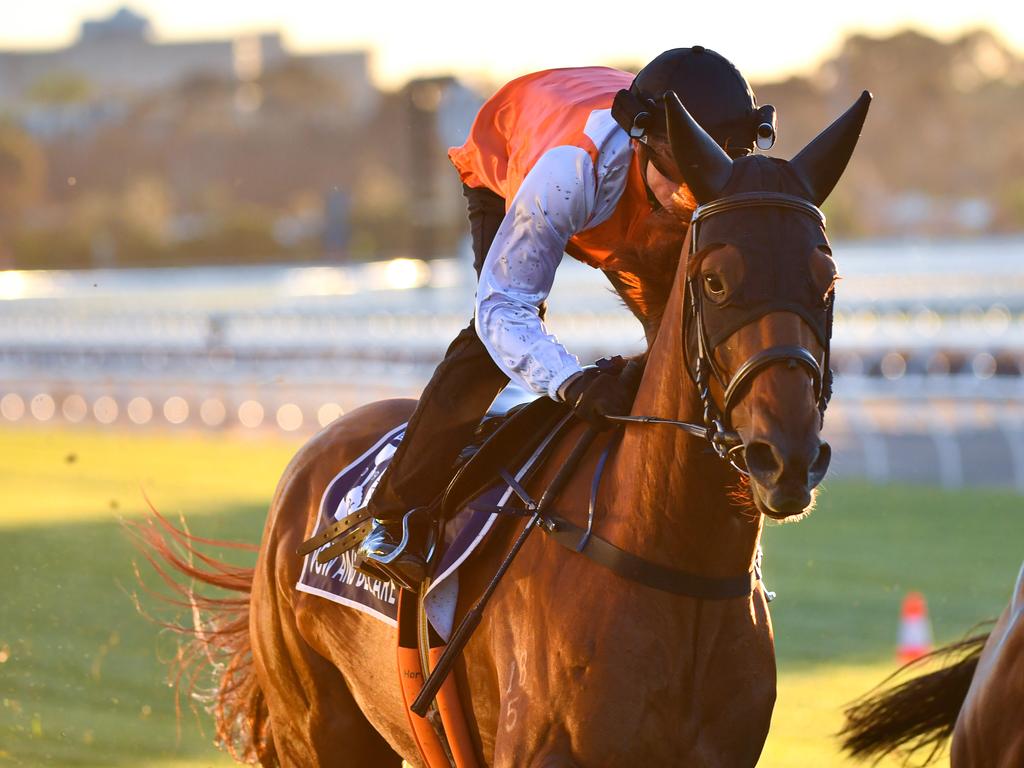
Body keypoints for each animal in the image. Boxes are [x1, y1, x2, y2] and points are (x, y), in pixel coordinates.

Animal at [132, 91, 872, 768]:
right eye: (716, 280)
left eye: (828, 278)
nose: (785, 457)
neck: (673, 563)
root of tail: (309, 458)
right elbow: (502, 308)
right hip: (318, 731)